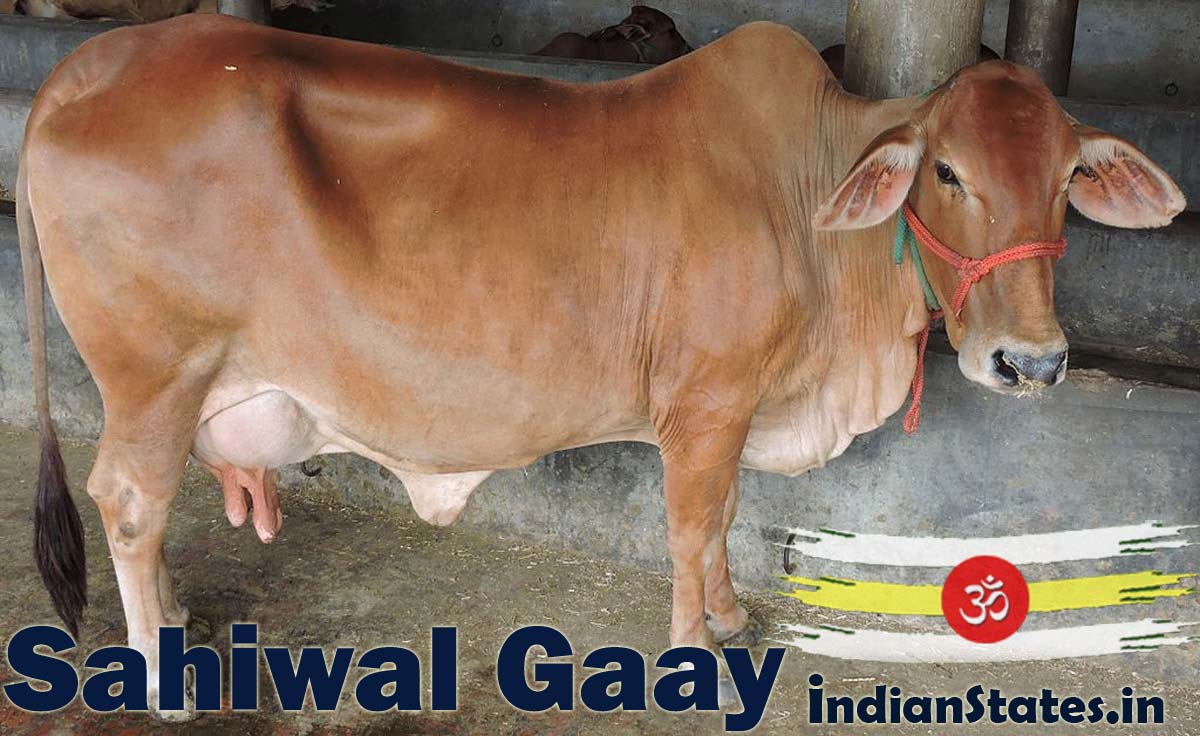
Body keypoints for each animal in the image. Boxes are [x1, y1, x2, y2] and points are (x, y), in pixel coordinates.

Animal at [19, 14, 1184, 718]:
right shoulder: (704, 402)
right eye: (946, 171)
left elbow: (721, 522)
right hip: (155, 375)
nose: (1030, 362)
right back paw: (161, 677)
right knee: (128, 500)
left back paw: (174, 623)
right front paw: (695, 656)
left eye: (1069, 177)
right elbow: (688, 525)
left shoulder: (734, 405)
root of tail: (84, 67)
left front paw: (728, 618)